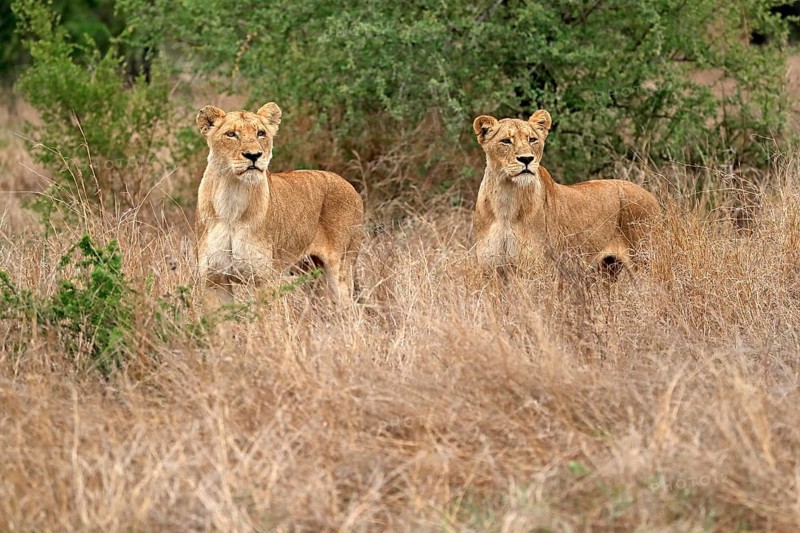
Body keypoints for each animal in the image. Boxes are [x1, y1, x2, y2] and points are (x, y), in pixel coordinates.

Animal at [195, 102, 364, 306]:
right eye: (231, 134)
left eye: (260, 133)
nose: (253, 155)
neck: (231, 197)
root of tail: (350, 186)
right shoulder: (214, 281)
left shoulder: (261, 279)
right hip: (312, 274)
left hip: (340, 268)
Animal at [472, 110, 659, 276]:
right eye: (506, 141)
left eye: (532, 139)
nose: (527, 159)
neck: (506, 199)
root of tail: (651, 195)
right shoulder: (491, 269)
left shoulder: (539, 270)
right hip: (607, 268)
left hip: (644, 260)